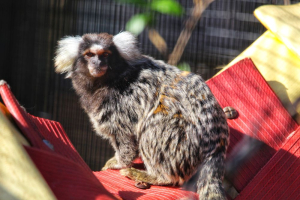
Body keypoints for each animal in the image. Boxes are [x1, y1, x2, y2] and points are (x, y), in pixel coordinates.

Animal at [54, 32, 229, 199]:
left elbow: (126, 139)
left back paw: (153, 176)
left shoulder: (123, 104)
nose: (97, 63)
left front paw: (119, 162)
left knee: (153, 126)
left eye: (105, 54)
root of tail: (215, 147)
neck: (108, 80)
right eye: (89, 54)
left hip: (184, 143)